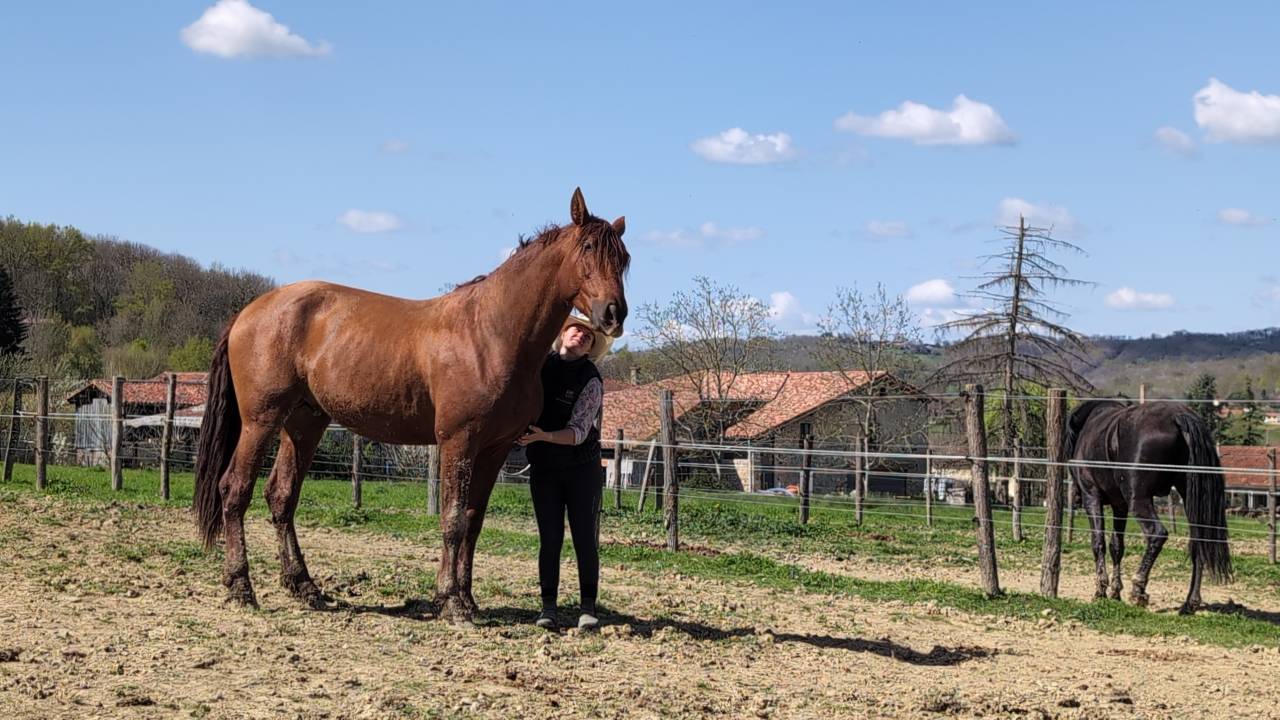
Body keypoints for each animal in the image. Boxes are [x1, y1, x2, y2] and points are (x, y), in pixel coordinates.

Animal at [193, 188, 629, 622]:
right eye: (588, 248)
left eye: (624, 258)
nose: (614, 313)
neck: (491, 333)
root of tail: (249, 312)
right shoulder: (458, 441)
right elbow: (452, 520)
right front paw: (451, 602)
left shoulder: (496, 449)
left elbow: (473, 521)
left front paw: (466, 599)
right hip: (261, 420)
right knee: (235, 490)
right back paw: (241, 587)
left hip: (303, 424)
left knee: (281, 496)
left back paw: (305, 587)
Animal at [1064, 400, 1231, 614]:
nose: (1074, 498)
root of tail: (1178, 416)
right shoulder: (1120, 506)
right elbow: (1116, 546)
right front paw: (1115, 591)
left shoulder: (1091, 497)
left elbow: (1098, 543)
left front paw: (1101, 590)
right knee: (1199, 543)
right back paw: (1190, 603)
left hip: (1139, 500)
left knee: (1157, 534)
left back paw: (1139, 589)